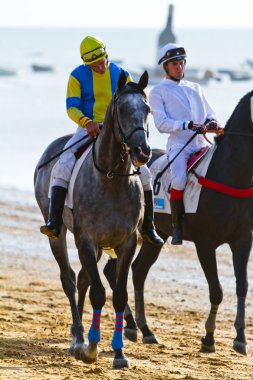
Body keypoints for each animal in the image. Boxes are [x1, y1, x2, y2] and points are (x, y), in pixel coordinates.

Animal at [34, 71, 151, 368]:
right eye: (122, 110)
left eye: (148, 109)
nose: (143, 152)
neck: (112, 179)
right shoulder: (85, 239)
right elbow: (98, 292)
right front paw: (91, 347)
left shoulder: (126, 242)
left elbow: (118, 295)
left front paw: (119, 353)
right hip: (60, 233)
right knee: (69, 278)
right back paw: (78, 336)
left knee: (84, 278)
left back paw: (80, 336)